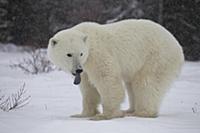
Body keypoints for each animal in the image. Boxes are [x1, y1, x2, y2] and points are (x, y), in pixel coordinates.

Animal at [47, 19, 184, 120]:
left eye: (81, 53)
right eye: (69, 54)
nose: (78, 69)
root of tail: (178, 47)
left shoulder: (97, 54)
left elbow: (107, 78)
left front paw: (105, 115)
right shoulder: (86, 68)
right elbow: (88, 88)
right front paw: (82, 114)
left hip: (156, 58)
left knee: (146, 84)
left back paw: (142, 112)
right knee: (132, 85)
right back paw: (129, 110)